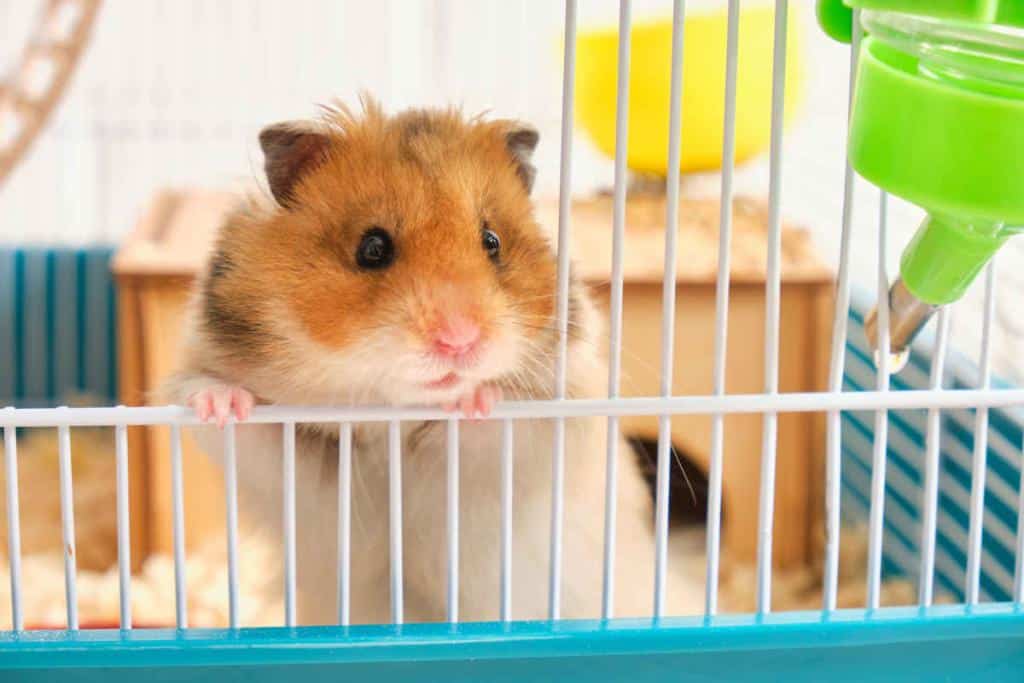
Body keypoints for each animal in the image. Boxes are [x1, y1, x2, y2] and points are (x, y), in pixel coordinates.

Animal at [165, 96, 695, 625]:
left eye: (492, 241)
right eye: (372, 247)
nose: (459, 340)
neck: (395, 423)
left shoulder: (549, 423)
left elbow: (500, 424)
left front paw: (475, 400)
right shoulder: (295, 460)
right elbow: (231, 410)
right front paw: (222, 405)